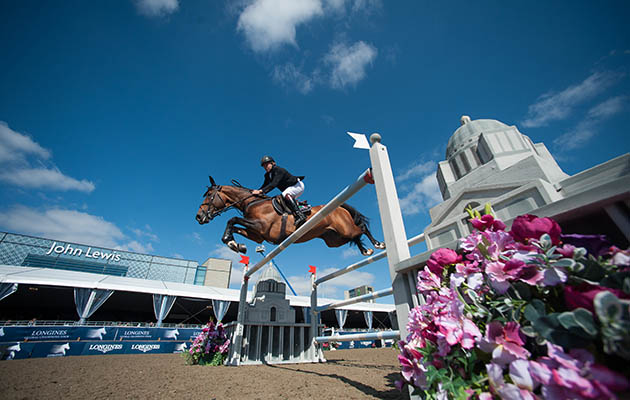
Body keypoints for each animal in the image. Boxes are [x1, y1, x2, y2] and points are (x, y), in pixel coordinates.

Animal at [196, 176, 386, 256]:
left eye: (209, 195)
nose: (198, 217)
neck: (251, 203)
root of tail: (339, 207)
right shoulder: (257, 235)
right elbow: (235, 226)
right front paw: (236, 245)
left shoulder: (261, 226)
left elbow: (232, 220)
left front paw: (231, 242)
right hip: (335, 239)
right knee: (355, 236)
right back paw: (365, 250)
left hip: (344, 230)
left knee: (361, 228)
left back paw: (378, 244)